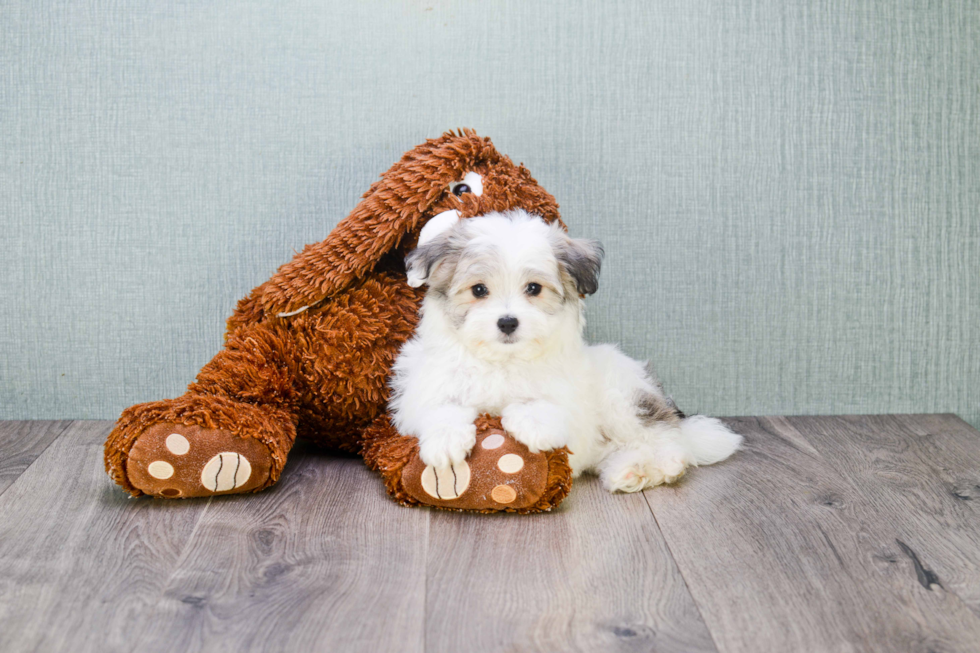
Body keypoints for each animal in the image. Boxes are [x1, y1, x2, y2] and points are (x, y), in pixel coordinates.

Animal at [386, 211, 740, 492]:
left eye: (533, 288)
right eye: (478, 290)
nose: (508, 322)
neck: (504, 361)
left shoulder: (572, 403)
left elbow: (546, 404)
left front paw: (533, 422)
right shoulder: (421, 390)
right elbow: (440, 407)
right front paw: (445, 442)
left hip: (624, 397)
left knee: (663, 439)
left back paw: (655, 467)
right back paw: (627, 471)